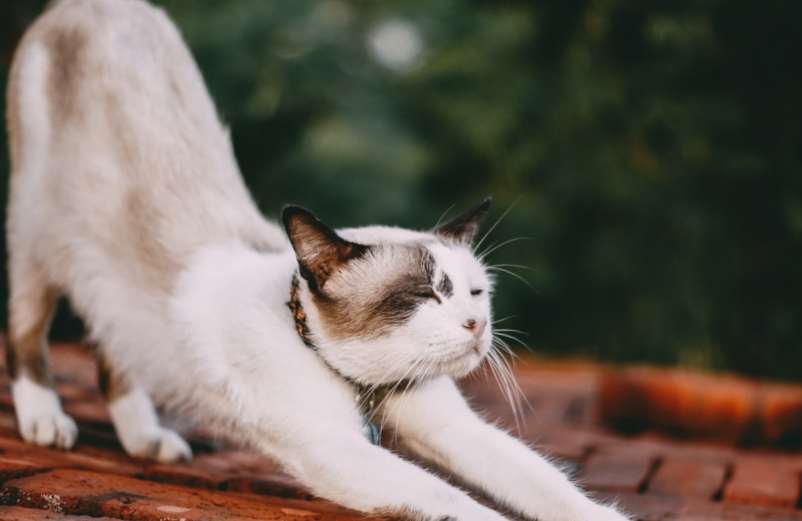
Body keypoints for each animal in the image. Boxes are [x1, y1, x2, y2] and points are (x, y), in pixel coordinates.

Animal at [6, 0, 632, 516]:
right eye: (424, 294)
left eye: (476, 294)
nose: (477, 326)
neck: (366, 388)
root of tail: (96, 5)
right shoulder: (333, 449)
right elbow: (456, 502)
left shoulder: (453, 429)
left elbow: (552, 487)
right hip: (38, 243)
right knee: (26, 335)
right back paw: (46, 421)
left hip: (103, 289)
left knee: (112, 346)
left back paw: (147, 440)